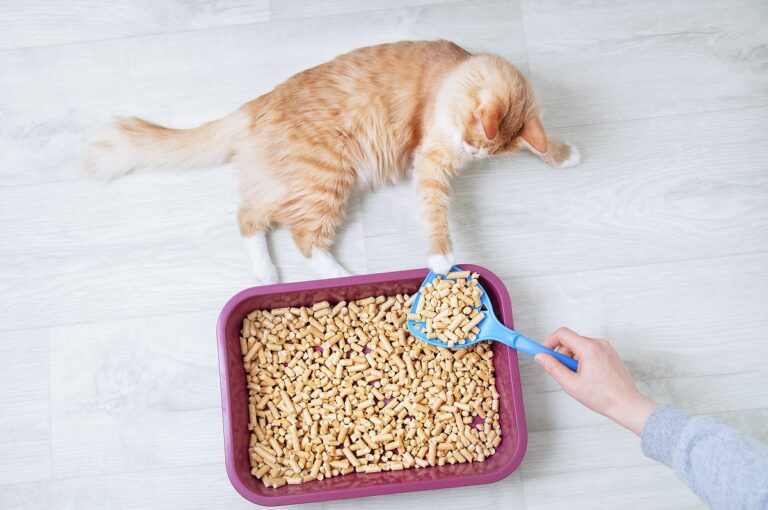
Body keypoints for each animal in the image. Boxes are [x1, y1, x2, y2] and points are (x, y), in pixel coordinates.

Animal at [82, 40, 576, 284]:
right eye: (471, 138)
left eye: (478, 149)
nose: (468, 151)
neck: (453, 74)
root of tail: (258, 103)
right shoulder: (431, 162)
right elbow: (436, 213)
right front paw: (441, 259)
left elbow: (543, 143)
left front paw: (568, 154)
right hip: (327, 178)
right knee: (304, 240)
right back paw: (341, 277)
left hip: (288, 183)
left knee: (249, 218)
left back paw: (266, 274)